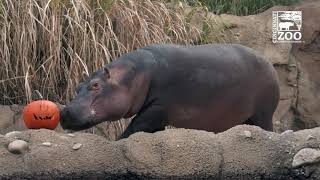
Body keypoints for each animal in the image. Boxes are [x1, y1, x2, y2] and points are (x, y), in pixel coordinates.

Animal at [60, 43, 280, 139]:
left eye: (96, 85)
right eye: (78, 86)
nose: (64, 112)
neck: (133, 75)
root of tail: (269, 64)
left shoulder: (159, 108)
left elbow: (136, 125)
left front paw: (118, 140)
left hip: (263, 113)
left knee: (267, 128)